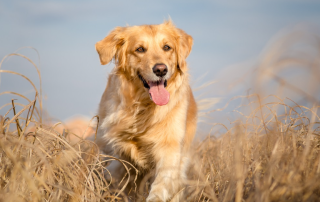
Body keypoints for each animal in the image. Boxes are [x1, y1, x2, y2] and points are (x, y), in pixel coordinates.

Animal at [94, 20, 196, 202]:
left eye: (167, 47)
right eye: (140, 49)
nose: (161, 69)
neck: (143, 107)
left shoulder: (170, 148)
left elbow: (162, 183)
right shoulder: (116, 150)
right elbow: (115, 174)